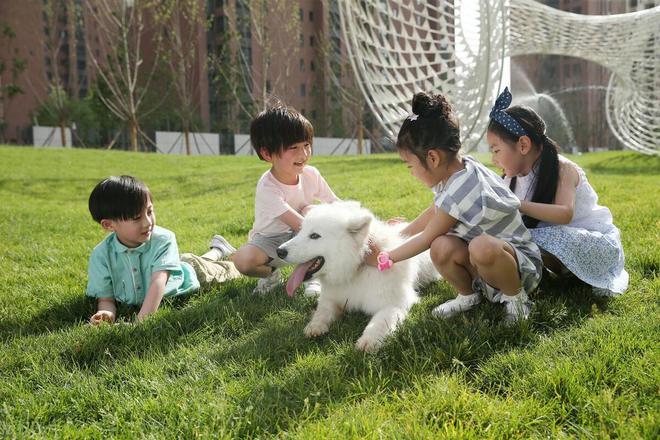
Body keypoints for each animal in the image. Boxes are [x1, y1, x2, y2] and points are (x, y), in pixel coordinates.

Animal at [274, 201, 438, 352]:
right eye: (301, 231)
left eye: (314, 236)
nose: (279, 251)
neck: (355, 269)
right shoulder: (331, 298)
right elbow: (322, 311)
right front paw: (315, 326)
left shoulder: (394, 304)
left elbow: (380, 321)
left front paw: (368, 340)